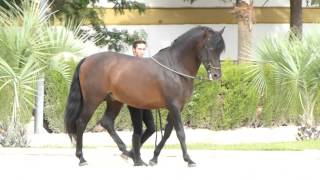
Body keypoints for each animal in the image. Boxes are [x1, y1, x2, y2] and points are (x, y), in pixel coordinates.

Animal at [64, 25, 225, 167]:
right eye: (210, 48)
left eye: (221, 50)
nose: (216, 75)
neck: (175, 67)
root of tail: (87, 59)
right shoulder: (174, 106)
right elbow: (180, 133)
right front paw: (189, 160)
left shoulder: (177, 107)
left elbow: (167, 133)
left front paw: (154, 158)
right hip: (92, 101)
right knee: (81, 123)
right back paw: (82, 158)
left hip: (114, 101)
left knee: (107, 122)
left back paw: (128, 153)